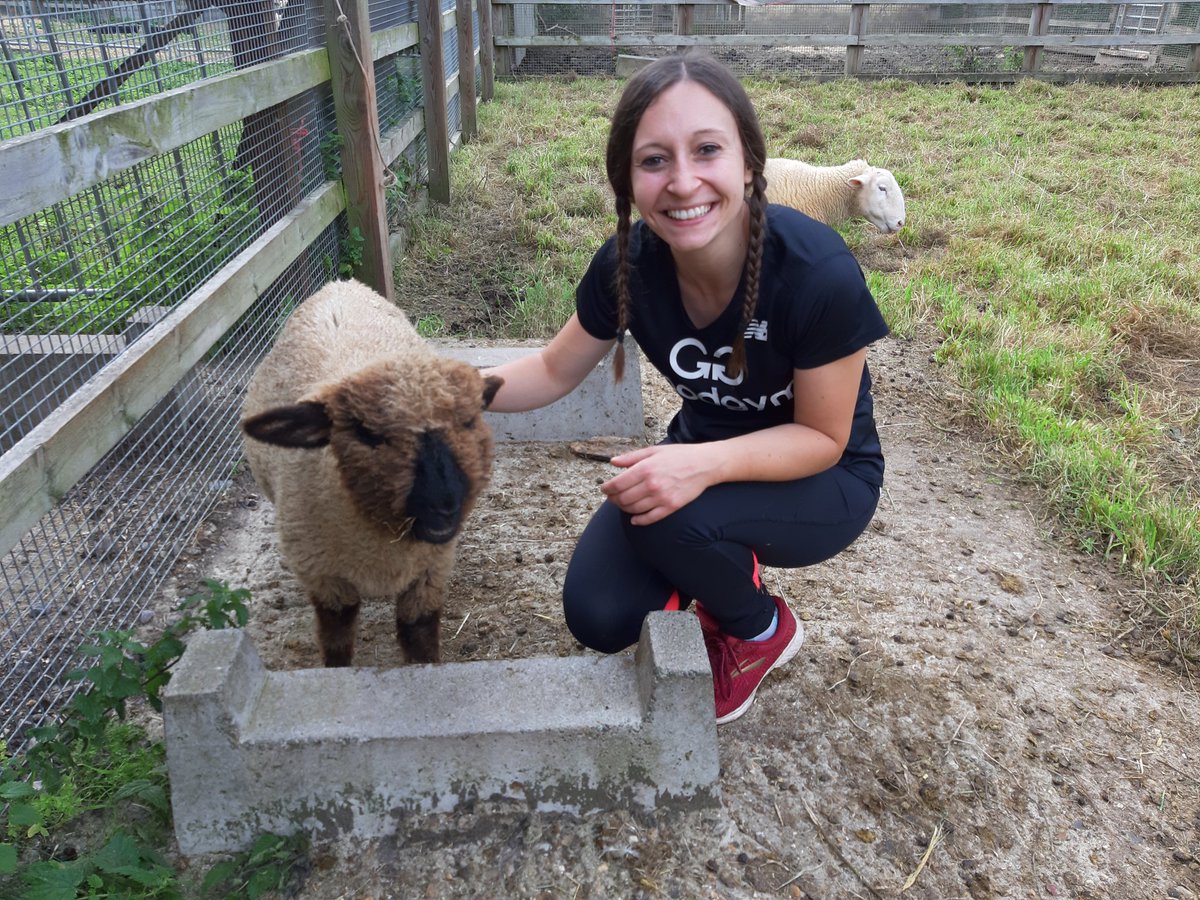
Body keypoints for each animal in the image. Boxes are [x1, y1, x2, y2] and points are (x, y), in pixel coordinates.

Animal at [240, 279, 503, 667]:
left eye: (469, 421)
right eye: (366, 434)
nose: (445, 504)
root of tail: (341, 283)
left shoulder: (428, 574)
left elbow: (420, 642)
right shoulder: (326, 581)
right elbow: (336, 645)